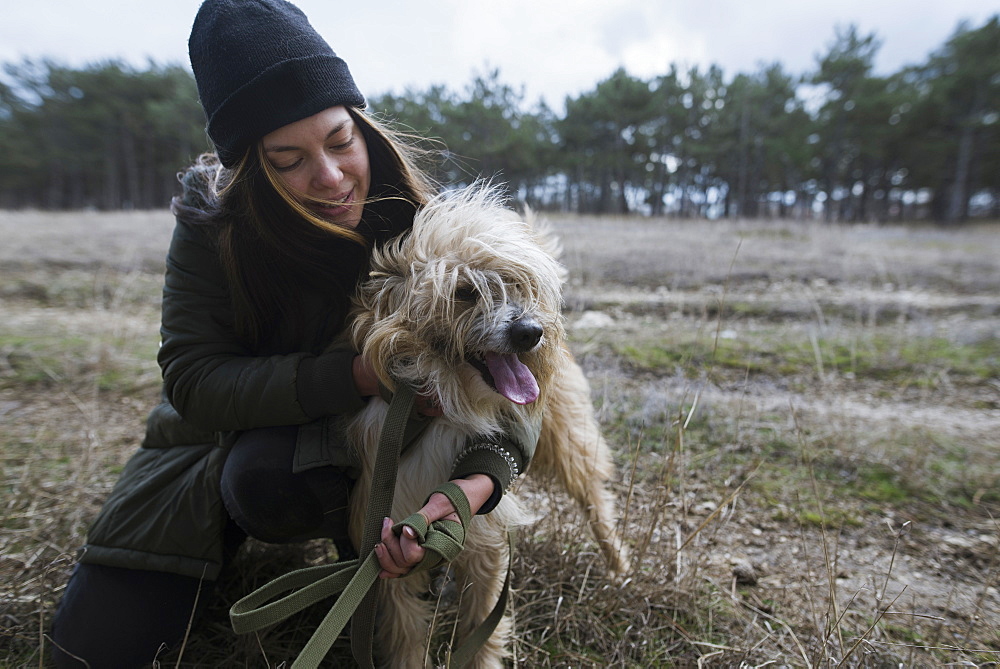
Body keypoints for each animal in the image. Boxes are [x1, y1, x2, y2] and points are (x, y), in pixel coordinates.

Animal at [344, 185, 624, 664]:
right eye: (464, 291)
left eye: (517, 285)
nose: (531, 332)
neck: (444, 405)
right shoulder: (388, 540)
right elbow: (405, 632)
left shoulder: (483, 533)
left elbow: (482, 626)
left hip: (568, 440)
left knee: (594, 498)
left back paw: (618, 562)